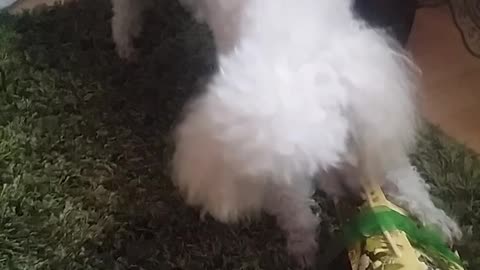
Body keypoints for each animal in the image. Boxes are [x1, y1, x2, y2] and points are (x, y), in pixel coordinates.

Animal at [111, 0, 462, 266]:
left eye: (340, 146)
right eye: (281, 176)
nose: (347, 196)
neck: (291, 47)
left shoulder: (375, 115)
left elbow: (403, 177)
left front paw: (436, 220)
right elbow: (296, 213)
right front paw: (304, 244)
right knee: (124, 10)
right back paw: (125, 44)